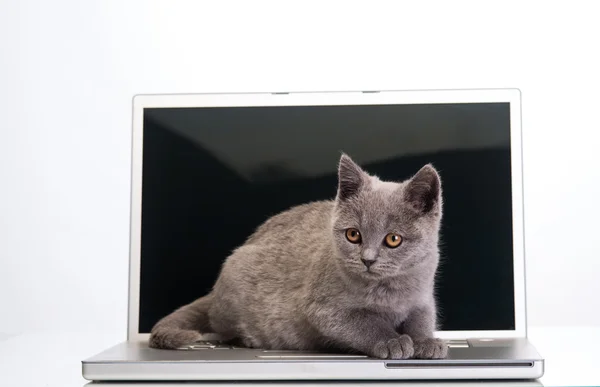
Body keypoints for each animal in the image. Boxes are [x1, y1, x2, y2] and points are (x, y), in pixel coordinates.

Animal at [150, 155, 448, 360]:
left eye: (393, 239)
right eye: (353, 235)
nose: (368, 259)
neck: (391, 292)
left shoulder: (423, 294)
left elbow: (422, 318)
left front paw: (426, 342)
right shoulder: (323, 308)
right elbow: (363, 322)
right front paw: (391, 341)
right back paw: (248, 339)